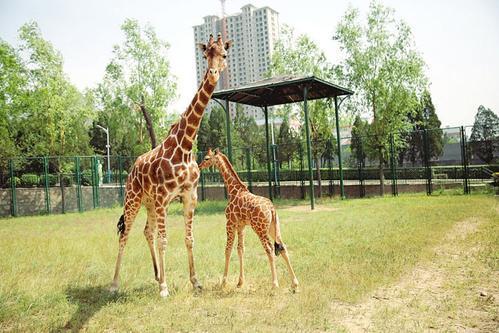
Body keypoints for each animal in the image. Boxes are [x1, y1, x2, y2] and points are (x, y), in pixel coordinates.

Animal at [111, 33, 232, 296]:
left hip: (148, 203)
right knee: (125, 233)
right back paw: (115, 284)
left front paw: (195, 282)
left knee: (147, 231)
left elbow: (188, 239)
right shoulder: (163, 198)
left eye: (224, 54)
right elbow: (165, 241)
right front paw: (165, 288)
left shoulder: (189, 196)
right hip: (134, 198)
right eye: (205, 54)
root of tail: (133, 167)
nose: (213, 73)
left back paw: (157, 275)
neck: (185, 147)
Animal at [199, 147, 298, 288]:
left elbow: (228, 250)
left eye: (206, 158)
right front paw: (240, 282)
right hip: (272, 227)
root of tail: (272, 209)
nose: (199, 165)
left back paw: (274, 284)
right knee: (282, 246)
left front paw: (223, 282)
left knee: (269, 249)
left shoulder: (229, 223)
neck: (233, 190)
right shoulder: (241, 226)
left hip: (260, 229)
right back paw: (295, 283)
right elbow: (240, 249)